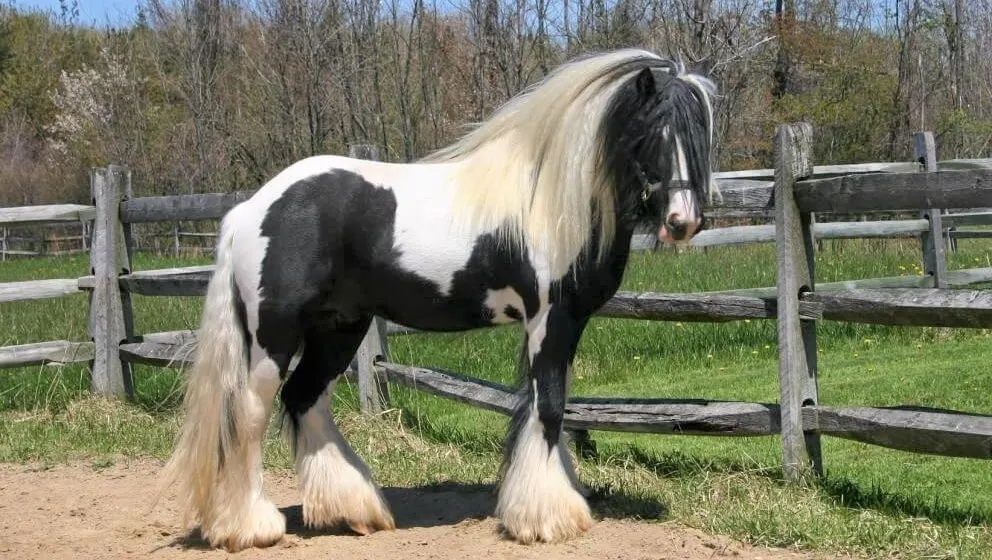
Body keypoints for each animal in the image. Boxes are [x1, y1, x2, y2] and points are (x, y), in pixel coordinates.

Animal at [163, 49, 716, 551]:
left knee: (304, 398)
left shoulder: (563, 324)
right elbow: (550, 407)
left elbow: (545, 404)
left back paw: (353, 510)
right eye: (651, 133)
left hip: (339, 327)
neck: (548, 203)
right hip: (274, 337)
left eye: (699, 134)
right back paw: (249, 527)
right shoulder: (549, 319)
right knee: (250, 412)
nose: (682, 221)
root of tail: (251, 209)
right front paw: (547, 518)